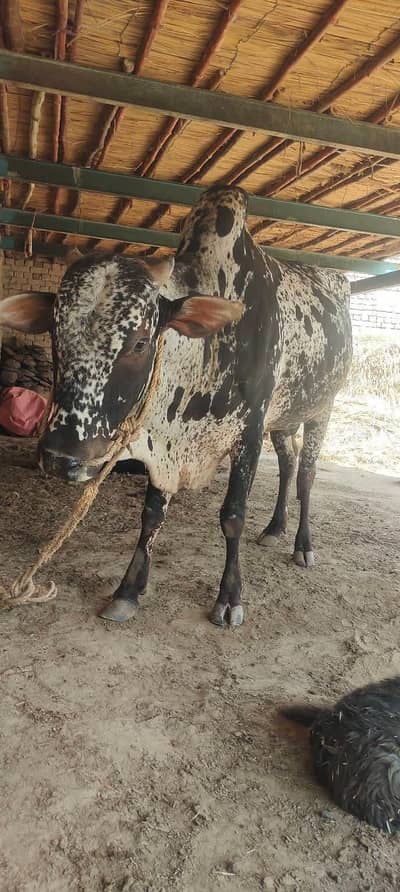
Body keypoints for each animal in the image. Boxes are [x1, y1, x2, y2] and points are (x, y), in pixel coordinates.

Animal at [0, 186, 352, 626]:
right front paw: (128, 591)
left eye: (139, 342)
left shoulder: (250, 434)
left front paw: (230, 597)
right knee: (288, 464)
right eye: (54, 330)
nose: (63, 458)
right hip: (285, 419)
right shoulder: (164, 444)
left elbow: (232, 516)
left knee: (306, 474)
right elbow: (151, 514)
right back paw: (274, 528)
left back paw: (302, 545)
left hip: (322, 408)